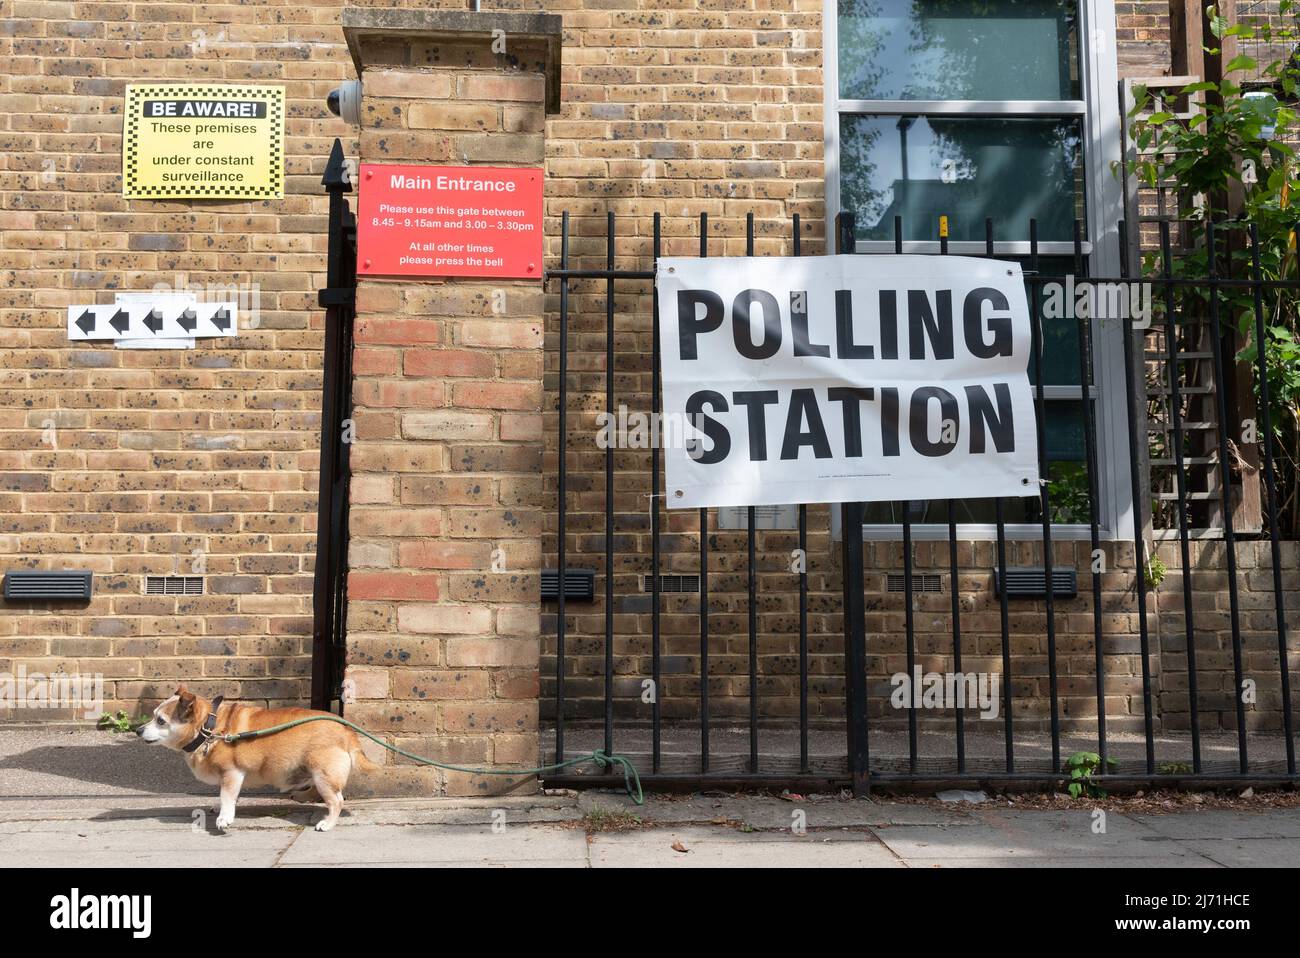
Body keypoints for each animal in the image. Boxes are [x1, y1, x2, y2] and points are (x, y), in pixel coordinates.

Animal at [137, 686, 377, 831]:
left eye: (160, 721)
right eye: (153, 716)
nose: (138, 730)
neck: (209, 728)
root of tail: (347, 730)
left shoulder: (232, 774)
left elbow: (226, 796)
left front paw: (224, 817)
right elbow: (227, 796)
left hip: (323, 775)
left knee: (336, 800)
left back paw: (327, 823)